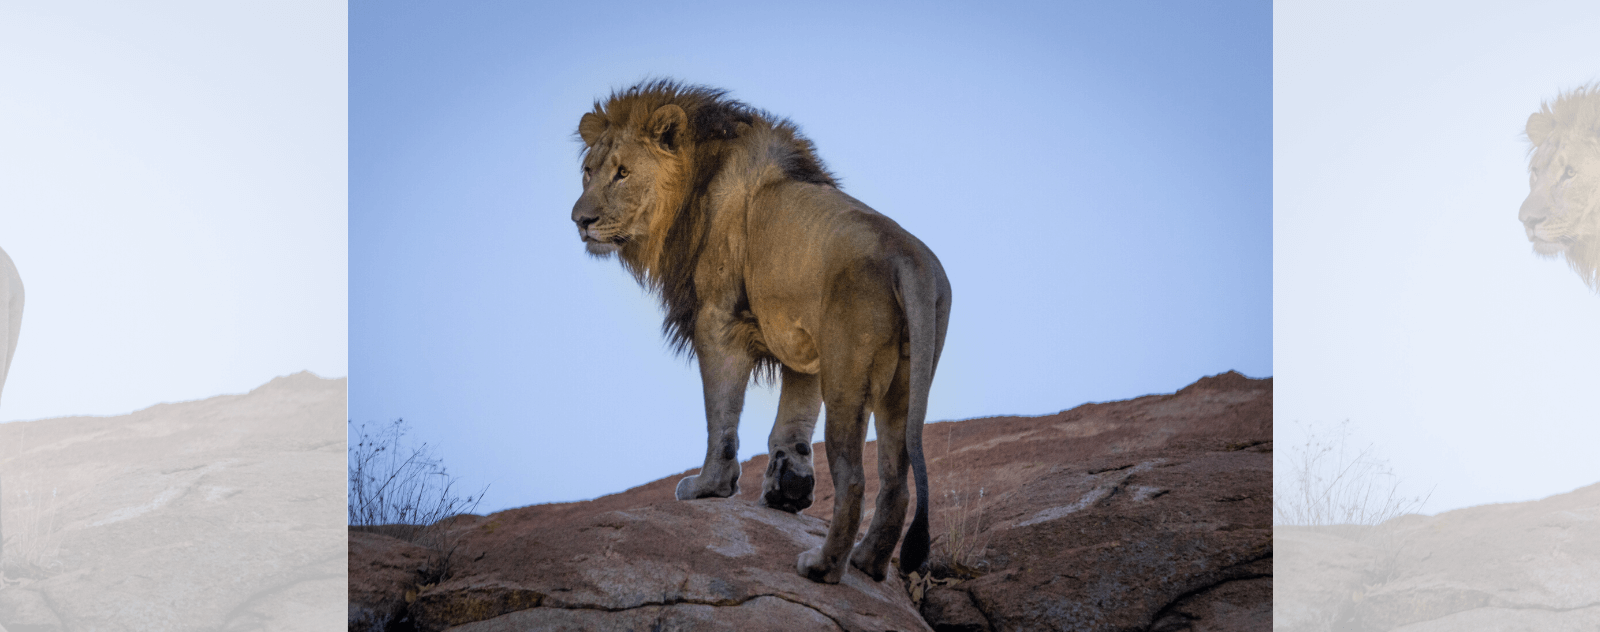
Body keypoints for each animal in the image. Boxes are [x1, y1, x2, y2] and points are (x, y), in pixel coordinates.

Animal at [569, 81, 947, 585]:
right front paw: (788, 492)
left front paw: (710, 486)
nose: (580, 220)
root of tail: (909, 258)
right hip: (903, 385)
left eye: (623, 173)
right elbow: (793, 424)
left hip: (849, 378)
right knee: (896, 481)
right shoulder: (804, 343)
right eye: (588, 172)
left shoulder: (718, 322)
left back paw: (823, 567)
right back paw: (867, 563)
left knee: (854, 480)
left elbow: (721, 416)